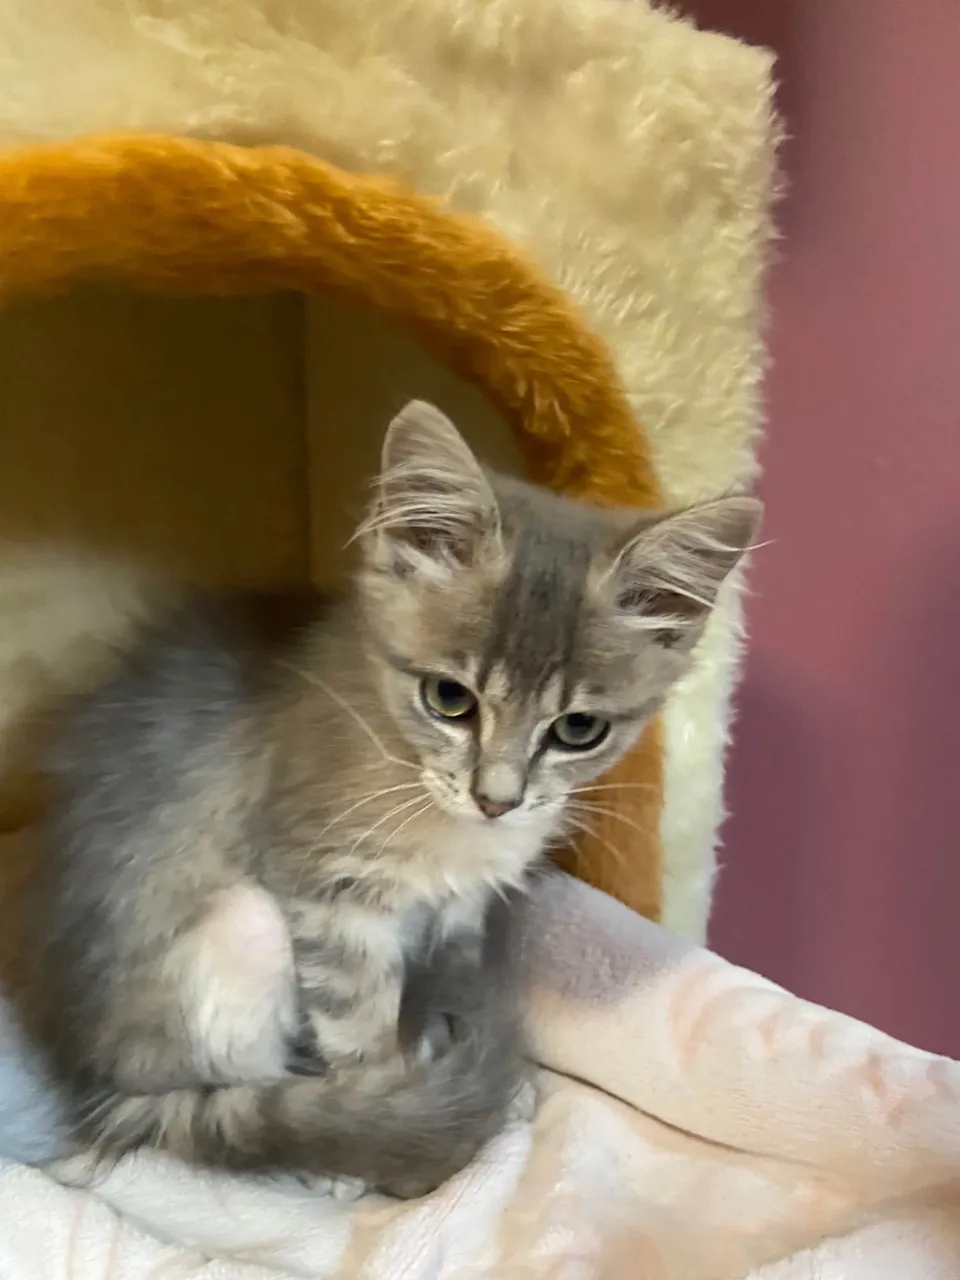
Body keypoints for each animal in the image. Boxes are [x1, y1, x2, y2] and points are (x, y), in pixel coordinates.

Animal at [30, 399, 761, 1199]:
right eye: (449, 698)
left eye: (578, 729)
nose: (498, 800)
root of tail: (97, 1075)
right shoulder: (324, 892)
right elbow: (359, 1025)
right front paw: (384, 1115)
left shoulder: (461, 909)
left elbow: (448, 981)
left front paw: (448, 1069)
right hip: (239, 929)